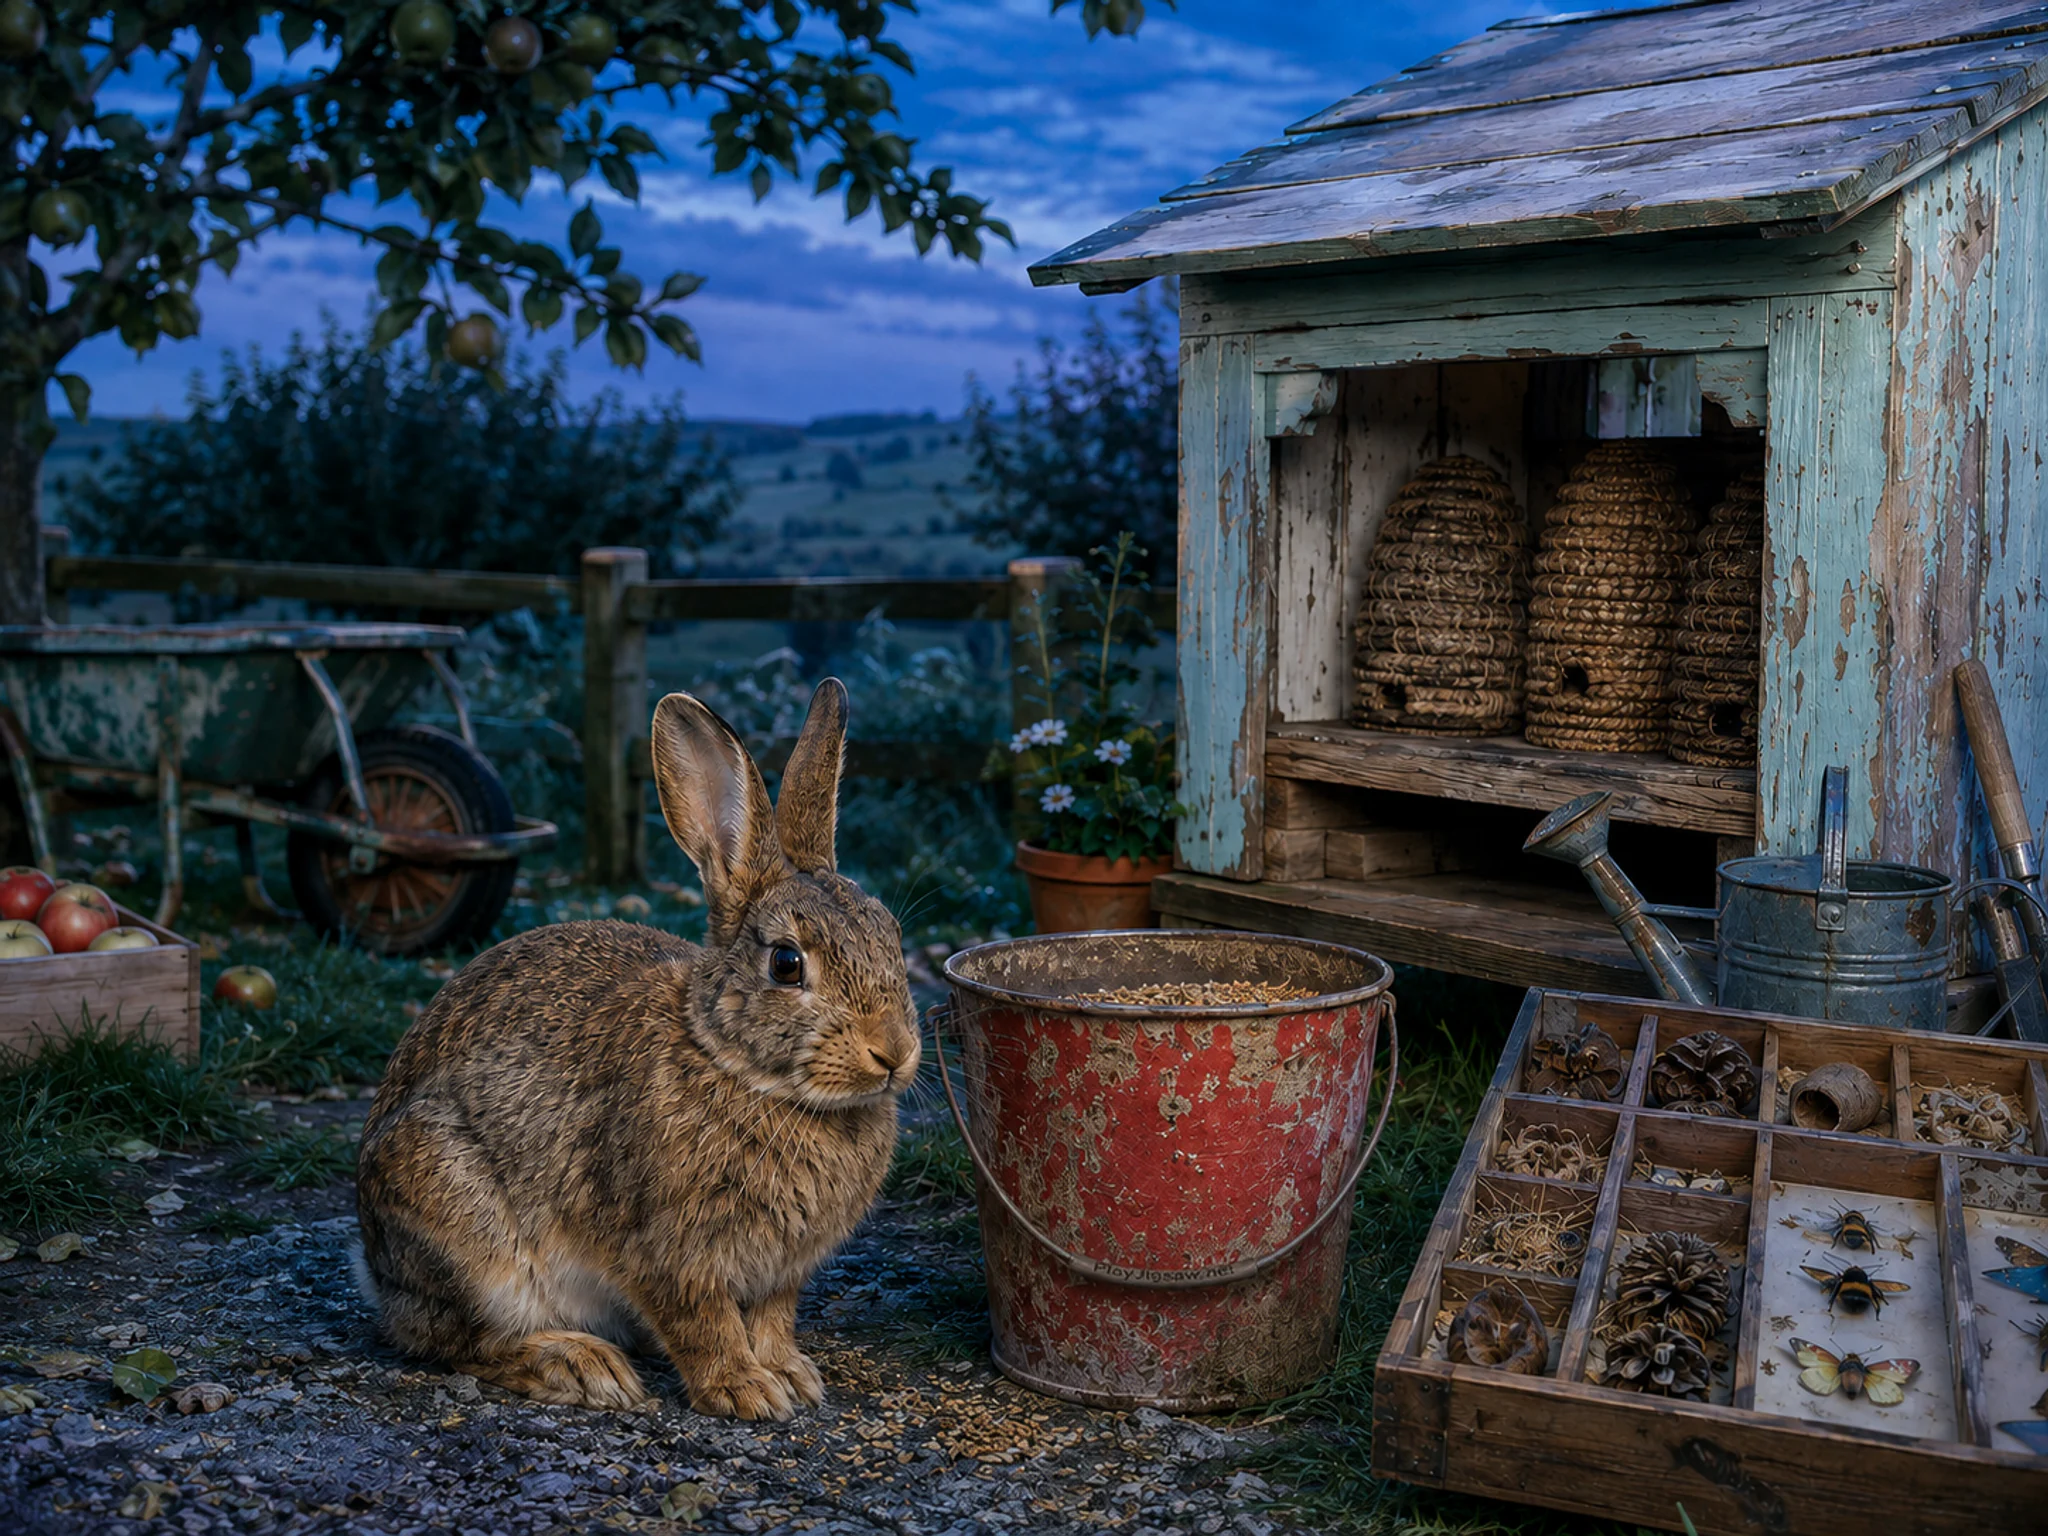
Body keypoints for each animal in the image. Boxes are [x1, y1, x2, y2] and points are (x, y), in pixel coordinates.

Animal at [352, 678, 920, 1420]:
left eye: (892, 936)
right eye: (787, 964)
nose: (895, 1053)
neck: (734, 1064)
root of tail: (375, 1270)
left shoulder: (781, 1274)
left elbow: (773, 1317)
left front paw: (791, 1374)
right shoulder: (667, 1251)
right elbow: (701, 1320)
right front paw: (744, 1390)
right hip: (463, 1233)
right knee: (458, 1341)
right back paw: (579, 1366)